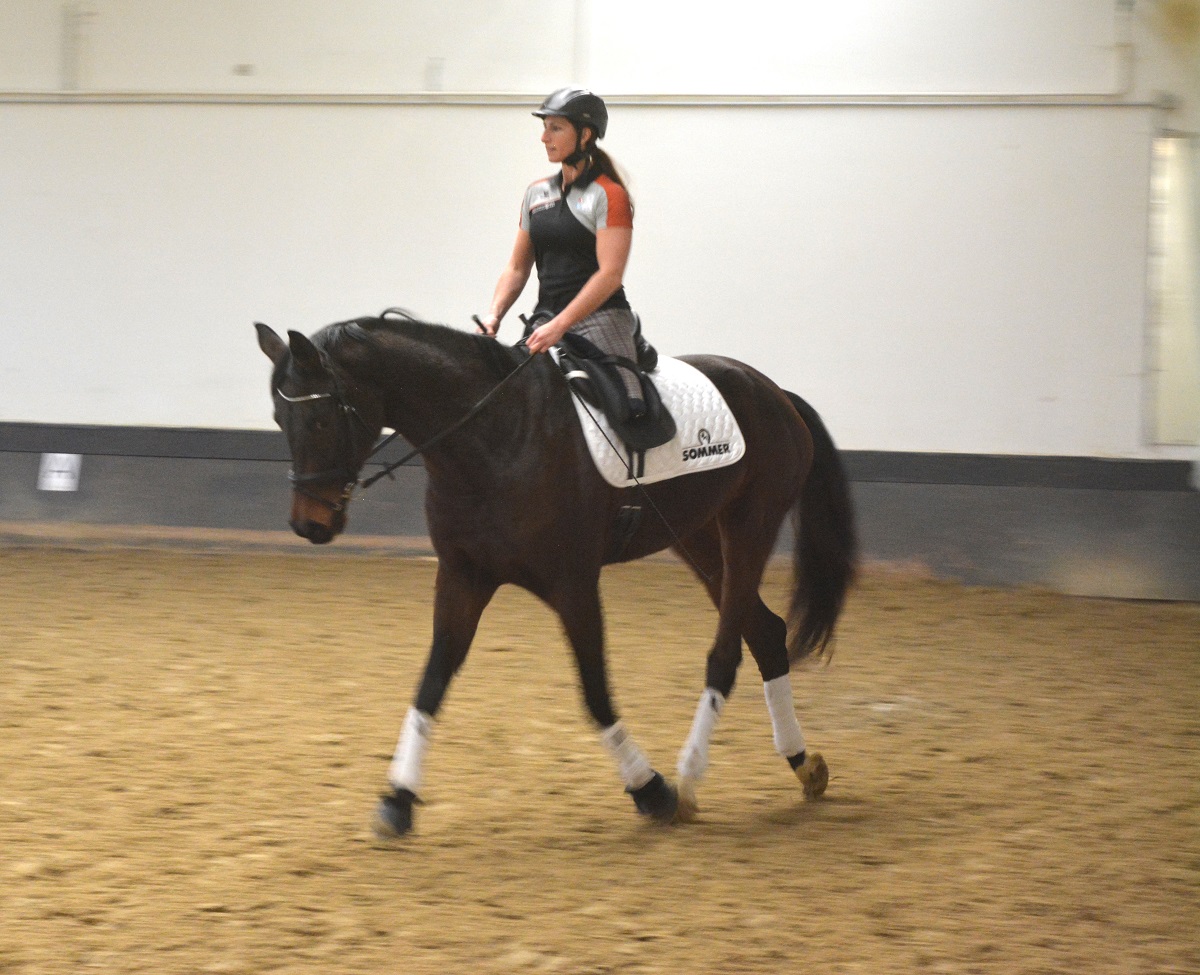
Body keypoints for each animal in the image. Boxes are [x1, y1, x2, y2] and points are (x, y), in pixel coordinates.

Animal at [255, 314, 854, 835]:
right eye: (279, 421)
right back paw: (803, 764)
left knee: (726, 653)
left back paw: (688, 780)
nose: (308, 524)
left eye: (320, 419)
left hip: (750, 526)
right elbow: (431, 681)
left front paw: (650, 789)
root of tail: (775, 391)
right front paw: (397, 799)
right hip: (698, 537)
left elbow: (594, 692)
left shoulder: (573, 585)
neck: (493, 439)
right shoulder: (462, 577)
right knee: (766, 632)